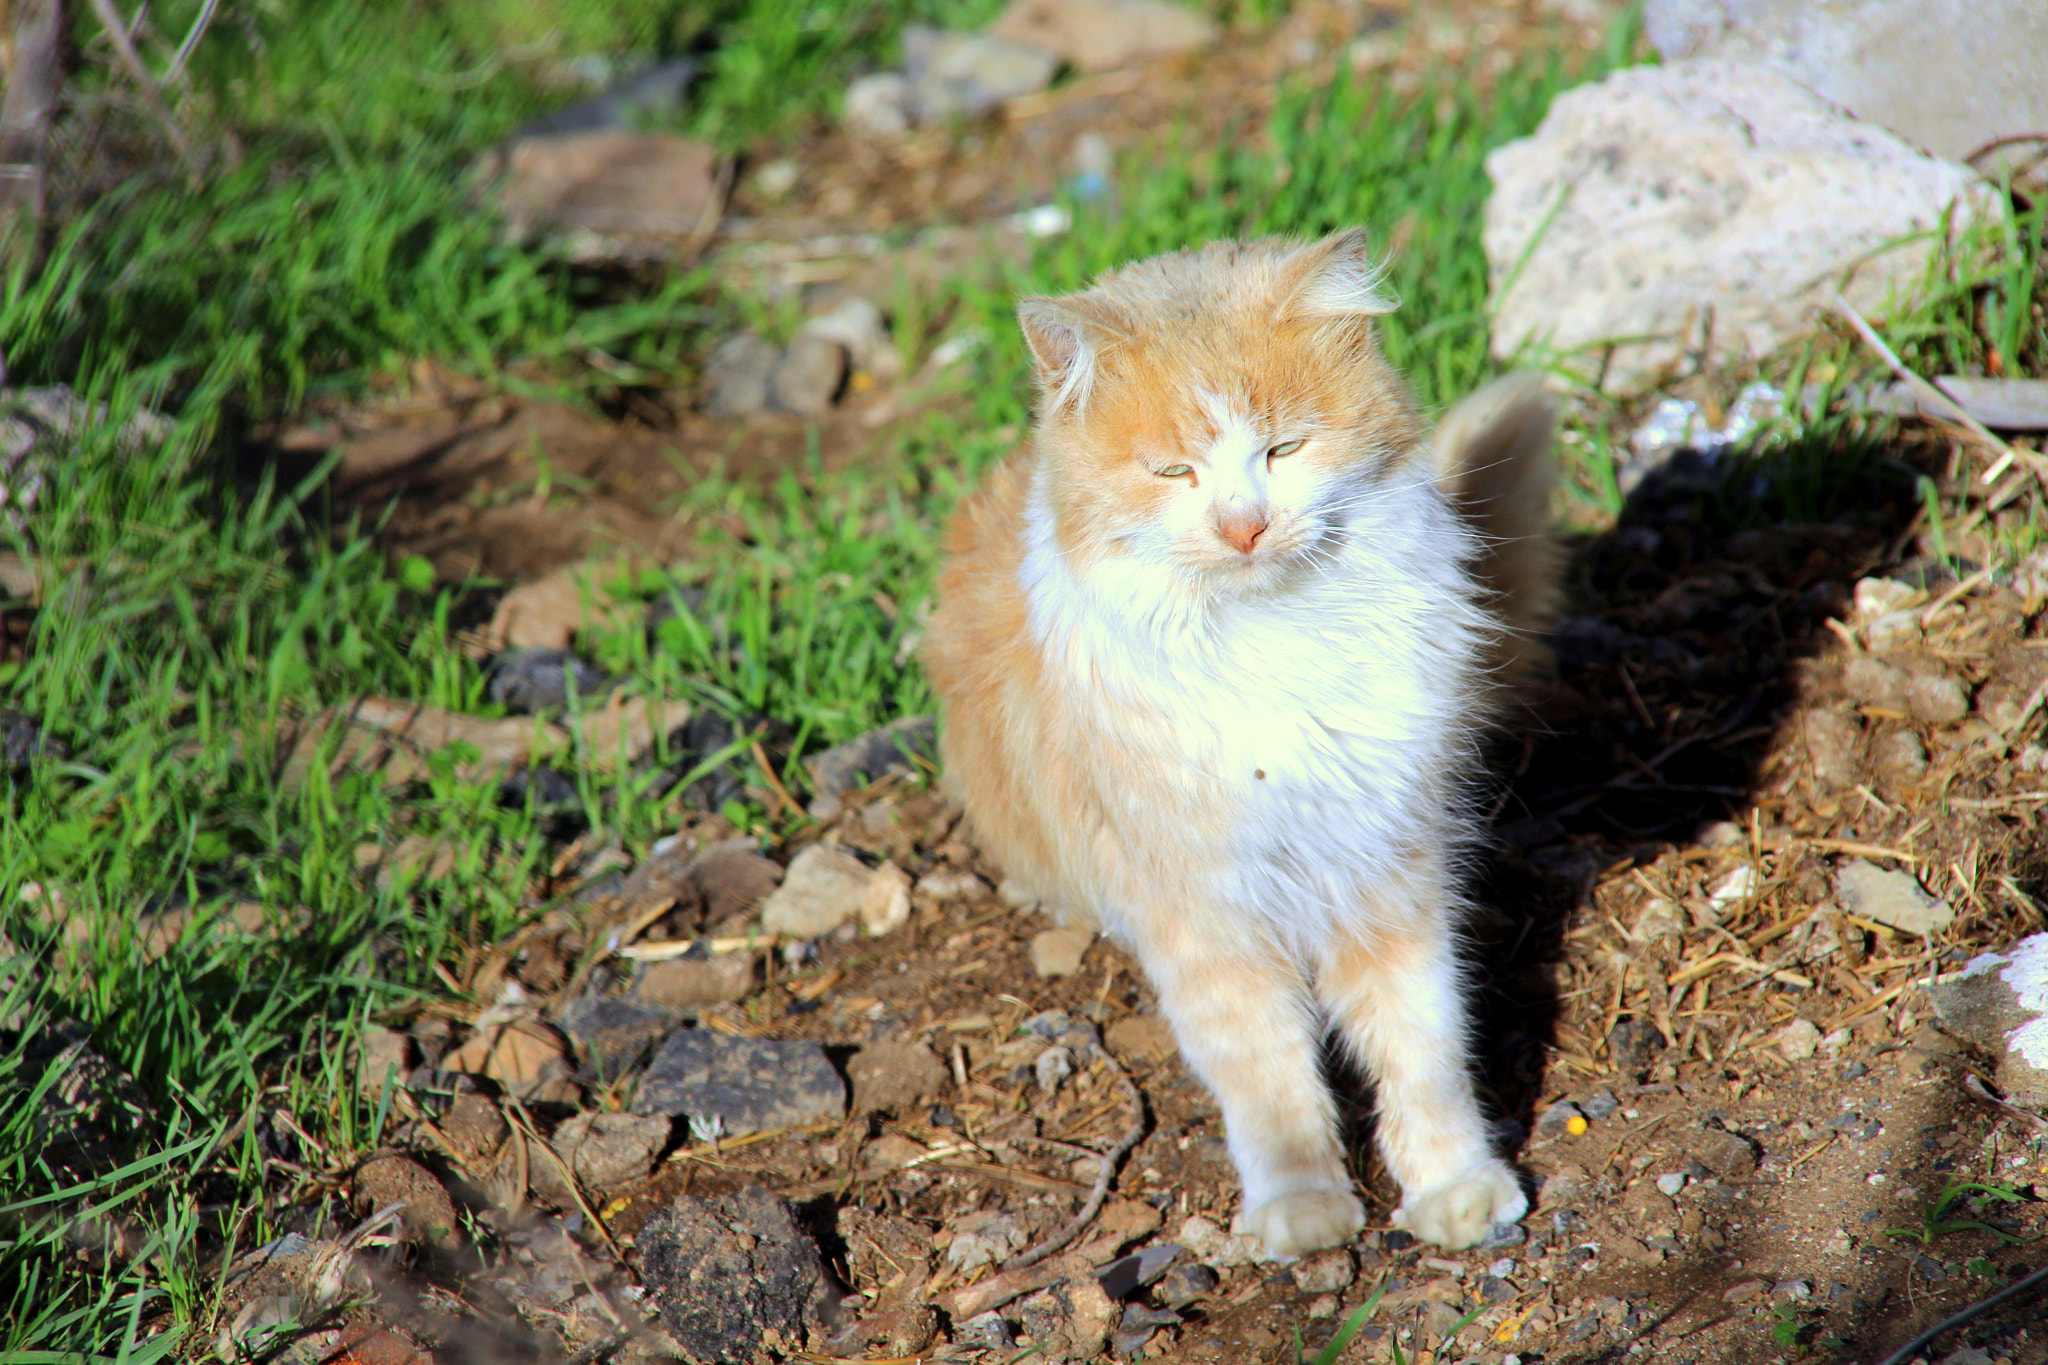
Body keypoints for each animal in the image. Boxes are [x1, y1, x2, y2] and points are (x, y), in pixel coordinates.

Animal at [925, 227, 1548, 1260]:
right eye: (1172, 473)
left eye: (1282, 448)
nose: (1244, 525)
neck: (1275, 644)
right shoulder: (1204, 917)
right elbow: (1270, 1082)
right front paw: (1304, 1211)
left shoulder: (1390, 875)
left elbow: (1424, 1052)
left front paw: (1453, 1187)